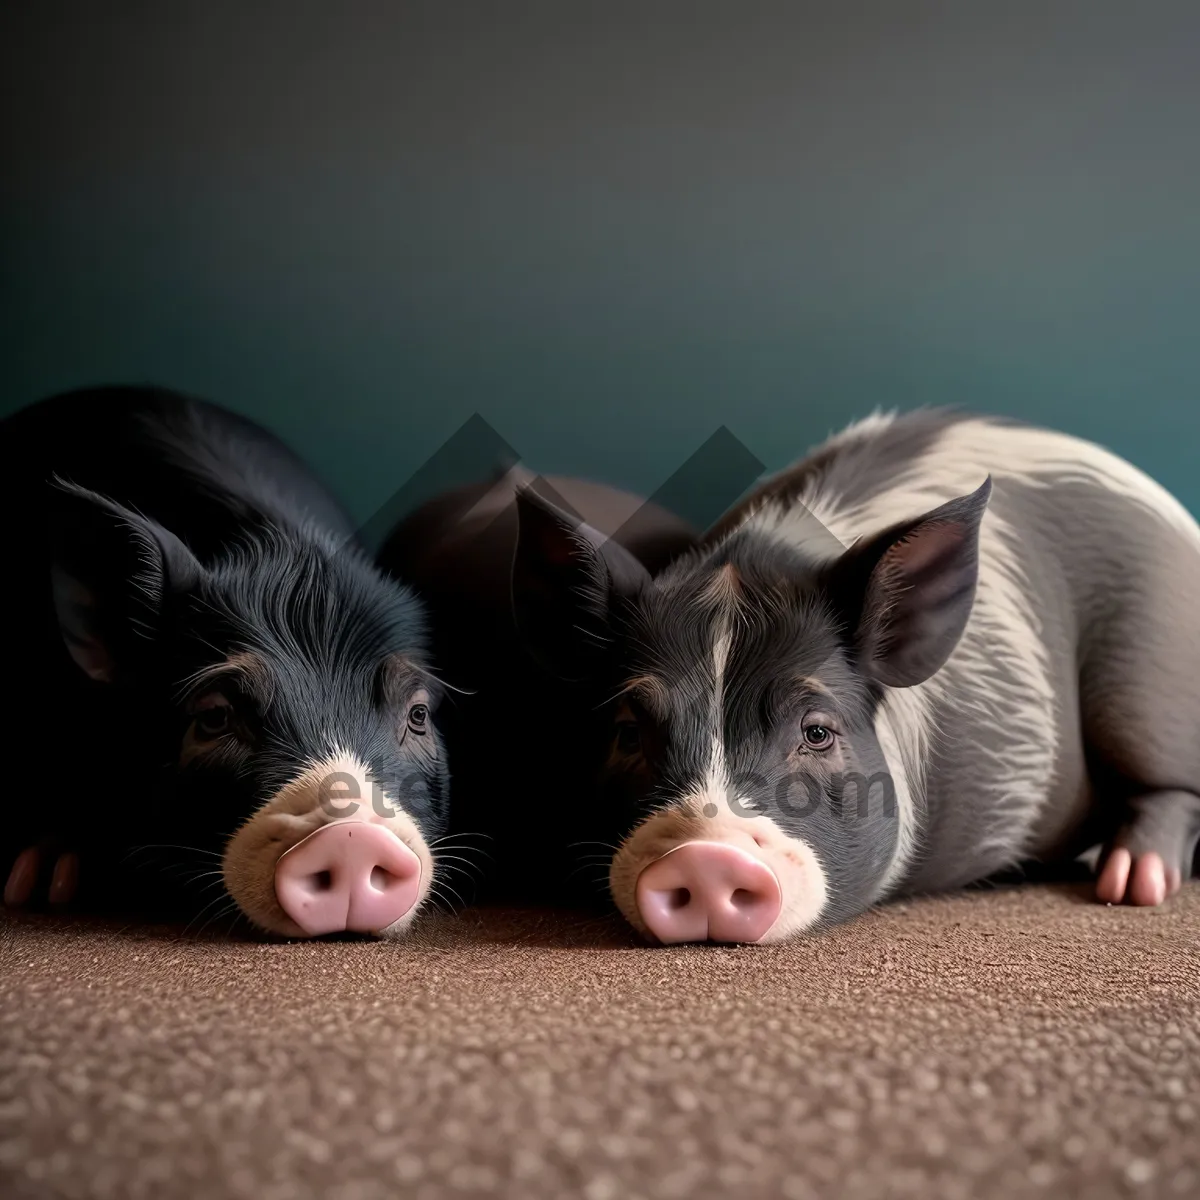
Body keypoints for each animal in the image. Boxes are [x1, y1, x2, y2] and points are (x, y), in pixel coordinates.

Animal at [516, 408, 1200, 940]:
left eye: (817, 731)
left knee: (1170, 785)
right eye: (629, 732)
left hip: (1148, 681)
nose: (705, 860)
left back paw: (1131, 884)